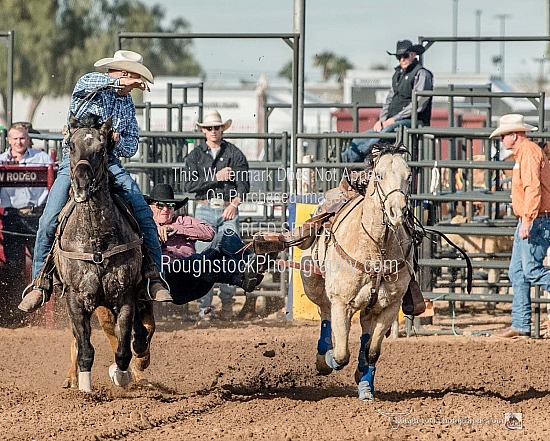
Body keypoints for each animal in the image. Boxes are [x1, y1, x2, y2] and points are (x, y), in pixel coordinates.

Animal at [302, 143, 414, 400]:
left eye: (409, 176)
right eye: (379, 175)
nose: (397, 212)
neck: (375, 247)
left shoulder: (390, 306)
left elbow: (372, 350)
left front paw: (364, 381)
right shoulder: (342, 302)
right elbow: (342, 354)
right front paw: (330, 359)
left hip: (370, 306)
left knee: (365, 333)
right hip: (314, 284)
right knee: (324, 311)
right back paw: (323, 358)